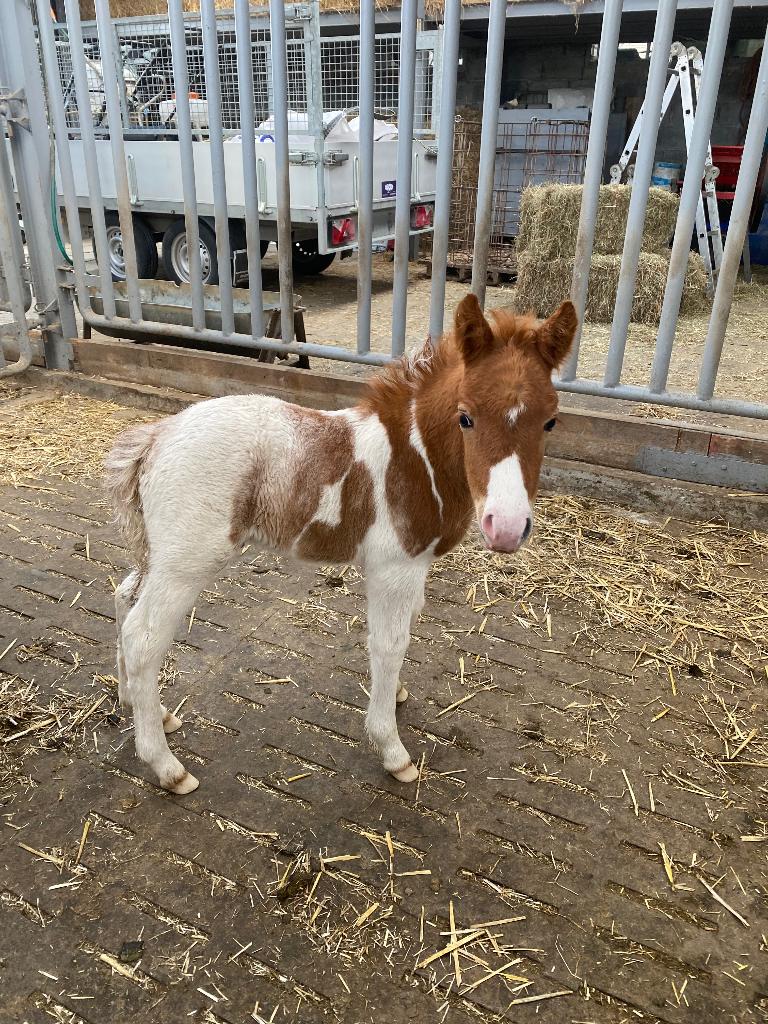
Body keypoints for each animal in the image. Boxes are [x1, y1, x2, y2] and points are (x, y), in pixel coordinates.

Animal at [105, 293, 577, 794]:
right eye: (465, 416)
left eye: (550, 421)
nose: (506, 527)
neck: (416, 459)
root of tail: (155, 438)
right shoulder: (393, 569)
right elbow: (389, 643)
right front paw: (392, 749)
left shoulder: (416, 568)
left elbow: (406, 628)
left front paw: (397, 693)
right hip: (185, 565)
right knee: (143, 638)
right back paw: (167, 766)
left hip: (159, 554)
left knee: (123, 598)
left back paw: (140, 705)